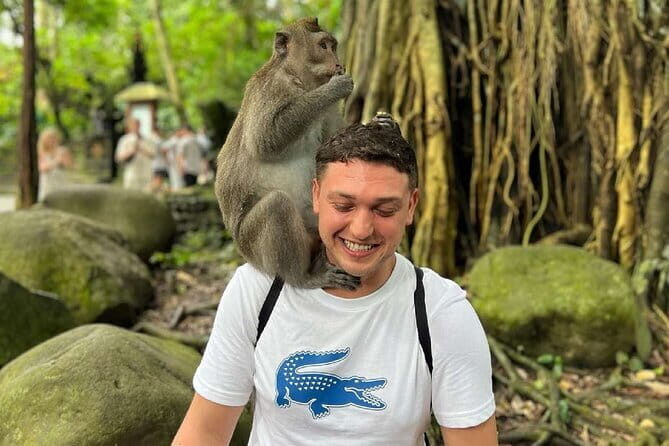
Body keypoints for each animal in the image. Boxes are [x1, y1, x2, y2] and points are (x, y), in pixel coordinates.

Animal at [215, 17, 360, 290]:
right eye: (323, 46)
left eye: (333, 45)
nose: (338, 63)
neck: (300, 81)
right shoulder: (271, 89)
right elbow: (265, 138)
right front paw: (336, 88)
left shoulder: (328, 112)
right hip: (252, 244)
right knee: (277, 205)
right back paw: (304, 276)